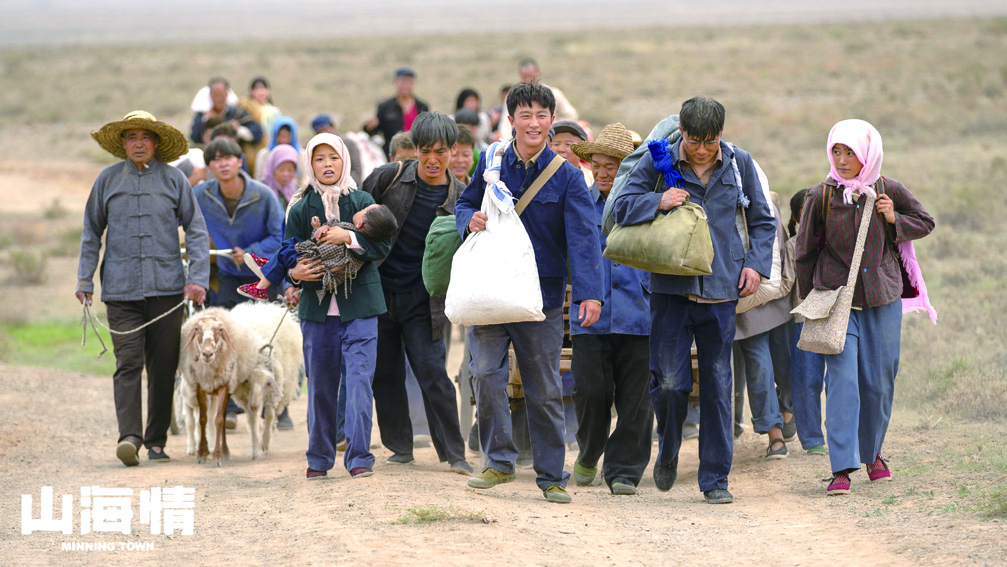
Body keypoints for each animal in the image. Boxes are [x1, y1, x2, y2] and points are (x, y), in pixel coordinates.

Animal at [178, 302, 301, 466]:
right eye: (197, 329)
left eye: (220, 330)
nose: (207, 354)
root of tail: (266, 305)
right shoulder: (202, 386)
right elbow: (204, 420)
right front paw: (202, 453)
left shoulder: (232, 386)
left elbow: (263, 416)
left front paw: (261, 444)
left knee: (268, 414)